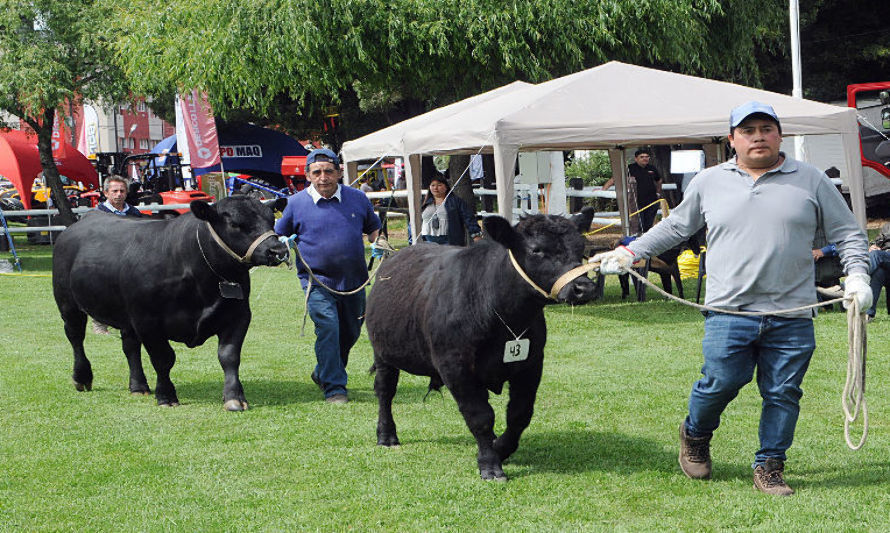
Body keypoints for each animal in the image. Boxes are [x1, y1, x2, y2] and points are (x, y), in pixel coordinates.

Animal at [52, 196, 286, 412]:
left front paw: (234, 397)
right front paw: (166, 396)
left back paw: (138, 386)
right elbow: (163, 359)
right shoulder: (147, 321)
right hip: (68, 305)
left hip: (126, 316)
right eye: (235, 224)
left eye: (270, 220)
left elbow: (229, 356)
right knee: (76, 338)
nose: (277, 250)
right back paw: (82, 377)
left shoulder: (239, 315)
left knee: (130, 347)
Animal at [364, 214, 592, 480]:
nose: (584, 288)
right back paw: (387, 435)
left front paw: (499, 448)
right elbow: (480, 416)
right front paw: (490, 464)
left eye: (580, 247)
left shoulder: (531, 364)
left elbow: (519, 414)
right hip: (382, 353)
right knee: (385, 391)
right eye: (536, 250)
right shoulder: (456, 367)